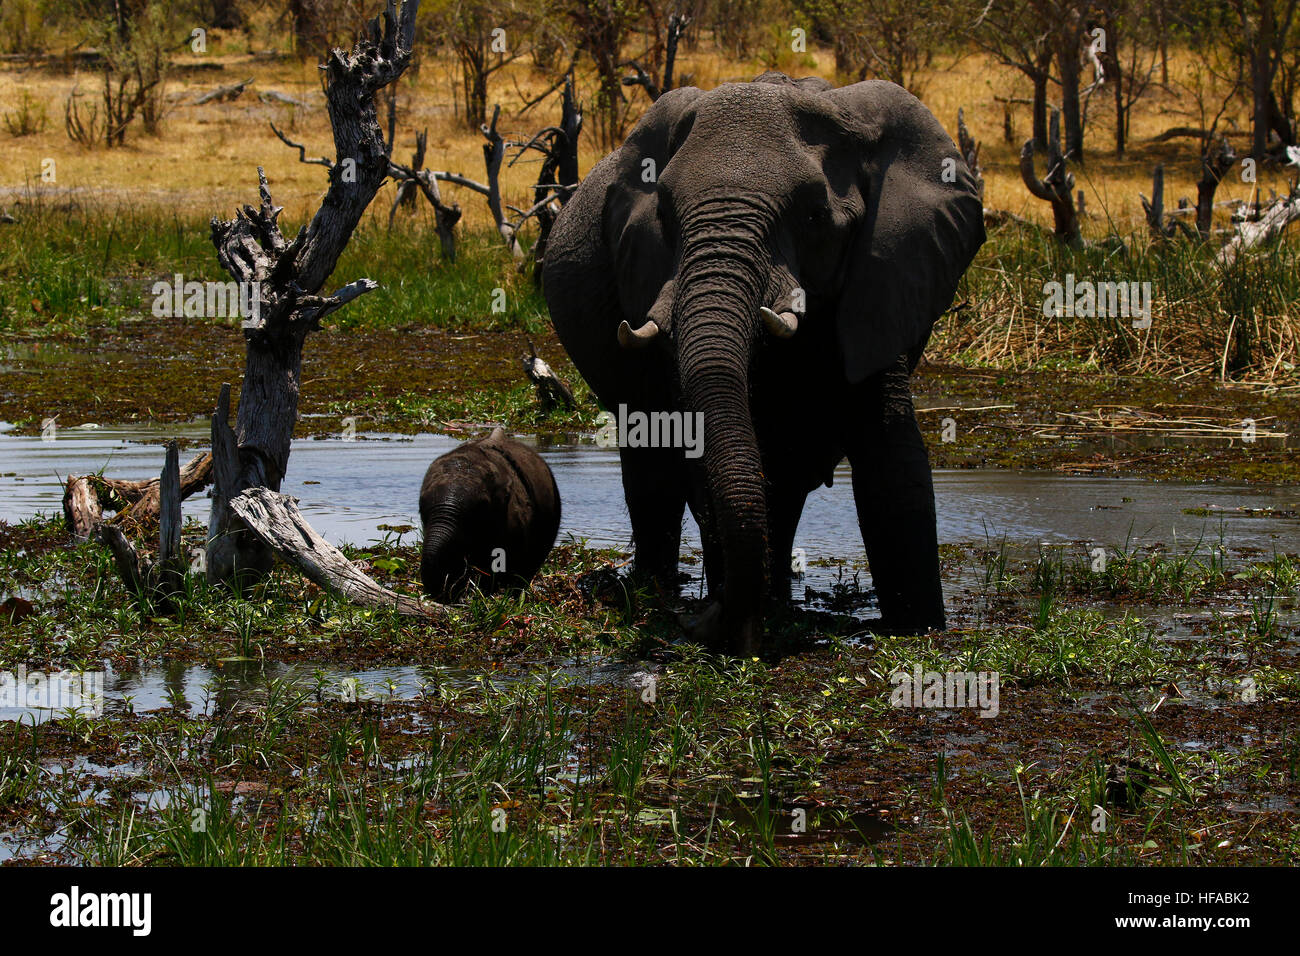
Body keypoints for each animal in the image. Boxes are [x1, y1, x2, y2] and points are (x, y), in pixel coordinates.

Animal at [540, 72, 982, 658]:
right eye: (664, 216)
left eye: (815, 216)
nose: (699, 620)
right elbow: (694, 445)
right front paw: (730, 617)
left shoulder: (883, 276)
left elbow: (890, 456)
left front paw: (920, 631)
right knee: (653, 461)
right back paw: (662, 590)